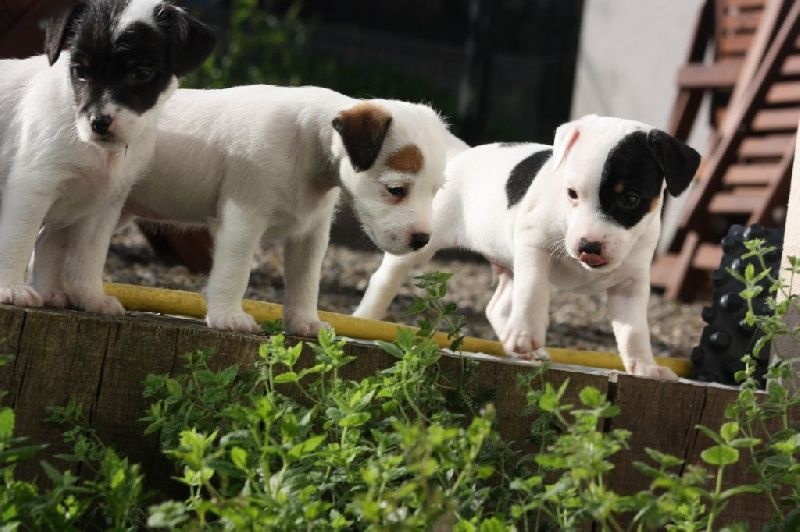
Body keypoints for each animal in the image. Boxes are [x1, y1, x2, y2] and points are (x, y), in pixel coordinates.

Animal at [0, 0, 216, 314]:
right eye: (79, 71)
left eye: (141, 73)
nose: (99, 123)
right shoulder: (32, 188)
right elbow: (16, 239)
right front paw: (10, 289)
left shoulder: (104, 205)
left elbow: (89, 258)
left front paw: (91, 298)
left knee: (48, 243)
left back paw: (51, 291)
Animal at [116, 86, 466, 336]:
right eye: (396, 190)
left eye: (436, 191)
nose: (421, 240)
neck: (307, 140)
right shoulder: (243, 220)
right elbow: (234, 272)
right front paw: (227, 317)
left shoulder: (311, 234)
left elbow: (305, 281)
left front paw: (304, 323)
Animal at [356, 114, 700, 380]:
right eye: (572, 194)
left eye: (630, 198)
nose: (587, 245)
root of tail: (463, 155)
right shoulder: (533, 246)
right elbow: (534, 290)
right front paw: (525, 333)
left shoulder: (630, 285)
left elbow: (634, 331)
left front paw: (645, 366)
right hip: (421, 241)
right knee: (385, 278)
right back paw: (365, 318)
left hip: (508, 263)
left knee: (497, 306)